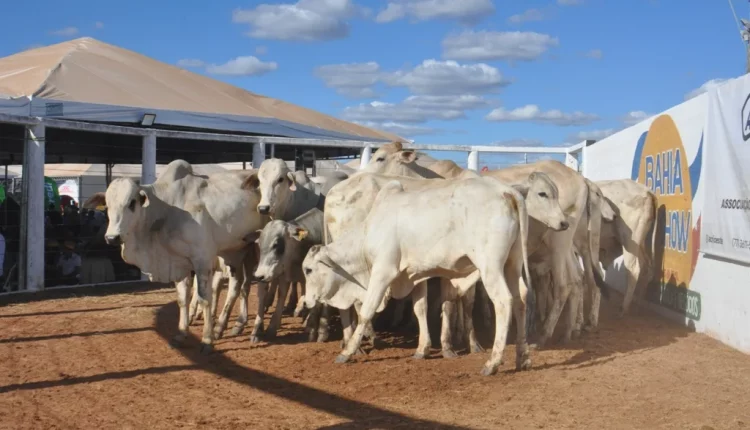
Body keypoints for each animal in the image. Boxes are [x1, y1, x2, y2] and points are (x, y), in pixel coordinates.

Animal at [104, 160, 268, 354]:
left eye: (131, 203)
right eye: (107, 205)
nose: (112, 237)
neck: (167, 208)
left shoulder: (202, 261)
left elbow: (205, 299)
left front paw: (206, 340)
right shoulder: (179, 264)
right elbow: (183, 300)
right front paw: (181, 334)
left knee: (259, 288)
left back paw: (255, 329)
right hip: (238, 253)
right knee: (239, 286)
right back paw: (226, 327)